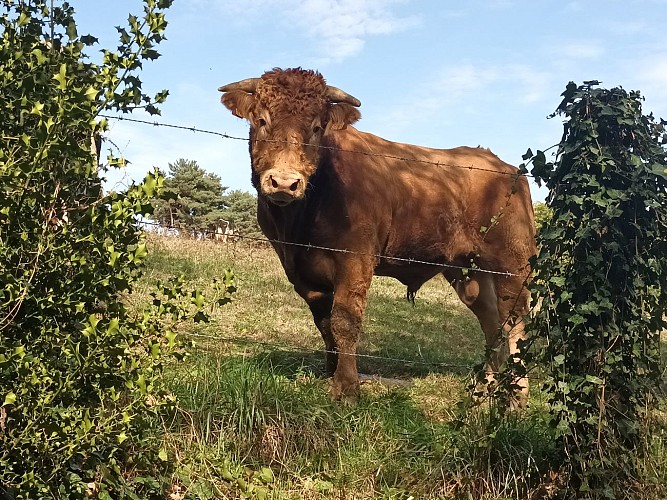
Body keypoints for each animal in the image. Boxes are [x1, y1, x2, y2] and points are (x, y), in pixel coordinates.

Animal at [219, 67, 536, 406]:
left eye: (317, 127)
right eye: (261, 120)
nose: (284, 182)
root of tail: (506, 167)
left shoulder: (355, 261)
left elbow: (344, 321)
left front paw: (347, 388)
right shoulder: (300, 271)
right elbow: (325, 322)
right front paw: (330, 374)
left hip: (511, 266)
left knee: (515, 323)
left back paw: (516, 396)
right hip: (469, 274)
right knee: (493, 324)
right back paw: (485, 389)